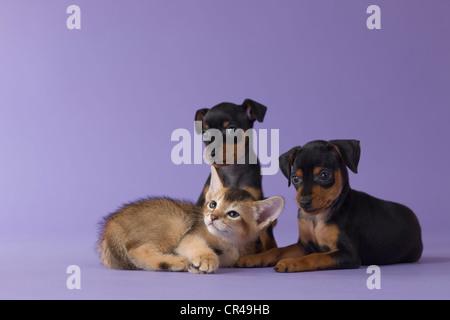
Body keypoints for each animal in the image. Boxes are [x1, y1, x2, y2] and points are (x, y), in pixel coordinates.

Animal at [98, 166, 284, 274]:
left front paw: (197, 267)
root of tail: (111, 225)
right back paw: (176, 261)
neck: (229, 242)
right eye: (213, 204)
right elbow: (194, 244)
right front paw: (206, 258)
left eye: (233, 214)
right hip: (176, 220)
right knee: (136, 251)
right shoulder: (190, 235)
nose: (212, 216)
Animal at [237, 139, 424, 272]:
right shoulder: (305, 245)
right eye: (295, 178)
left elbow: (315, 257)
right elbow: (278, 250)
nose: (304, 202)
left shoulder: (348, 254)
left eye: (324, 175)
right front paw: (254, 258)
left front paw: (291, 263)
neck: (317, 217)